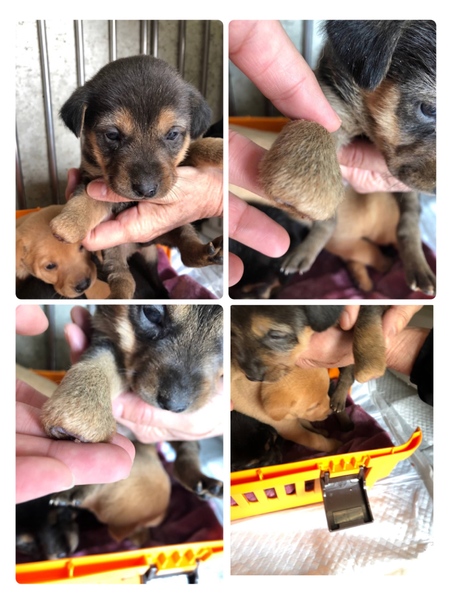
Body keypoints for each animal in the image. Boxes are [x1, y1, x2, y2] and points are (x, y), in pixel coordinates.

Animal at [50, 55, 223, 299]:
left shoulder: (176, 167)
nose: (146, 190)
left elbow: (195, 148)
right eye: (112, 134)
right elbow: (87, 198)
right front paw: (69, 224)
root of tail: (141, 246)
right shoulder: (90, 178)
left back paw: (207, 253)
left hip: (177, 227)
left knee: (187, 248)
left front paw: (220, 149)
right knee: (123, 280)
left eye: (172, 134)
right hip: (114, 253)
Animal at [231, 305, 387, 460]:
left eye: (276, 335)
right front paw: (330, 440)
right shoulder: (290, 425)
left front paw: (370, 363)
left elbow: (366, 318)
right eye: (233, 334)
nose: (251, 376)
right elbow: (313, 435)